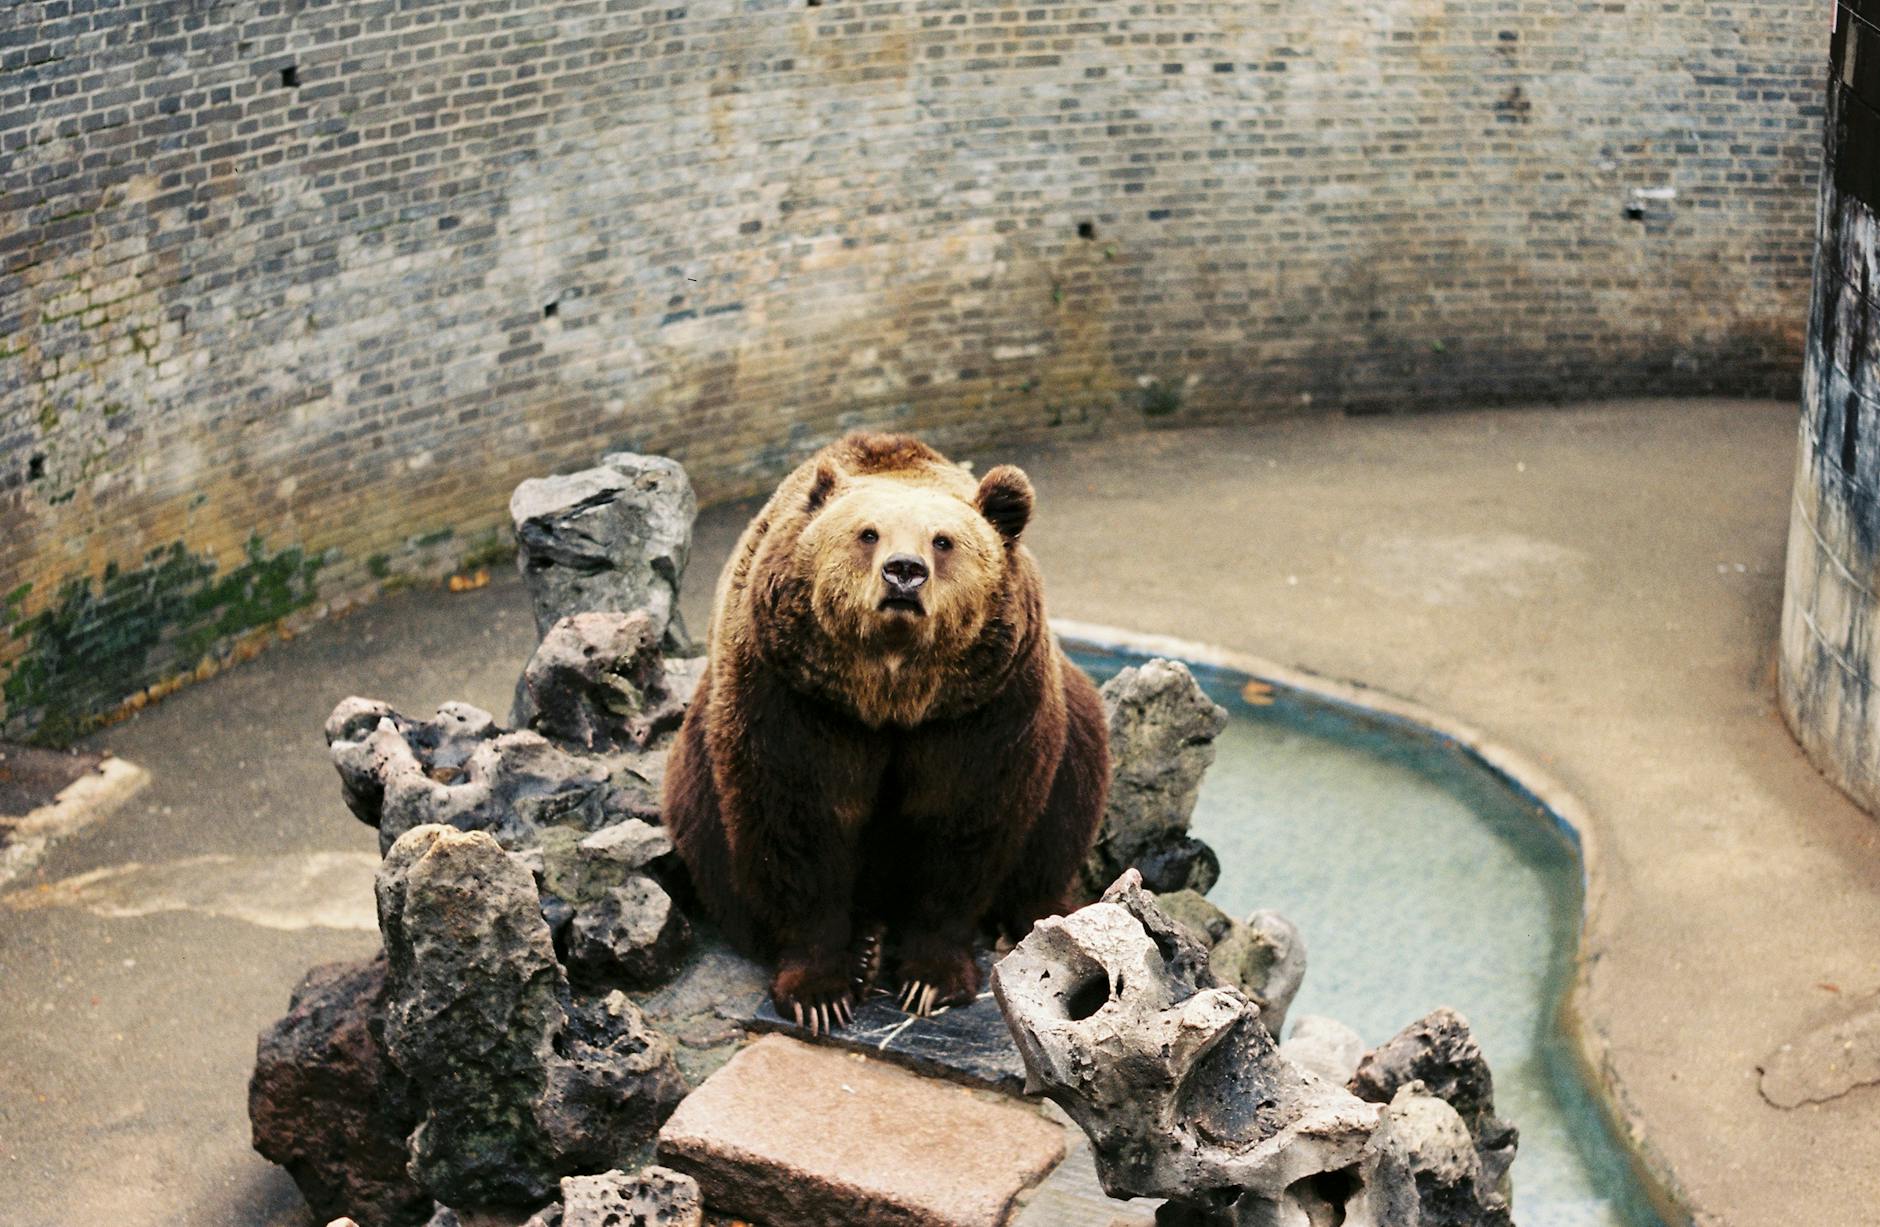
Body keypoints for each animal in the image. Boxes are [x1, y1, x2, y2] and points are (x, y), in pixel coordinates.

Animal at [662, 431, 1109, 1031]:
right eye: (867, 533)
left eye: (943, 540)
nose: (904, 571)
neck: (892, 692)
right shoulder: (794, 698)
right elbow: (797, 823)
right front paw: (820, 991)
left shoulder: (981, 709)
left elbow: (963, 826)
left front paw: (930, 980)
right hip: (697, 771)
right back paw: (866, 945)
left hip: (1071, 736)